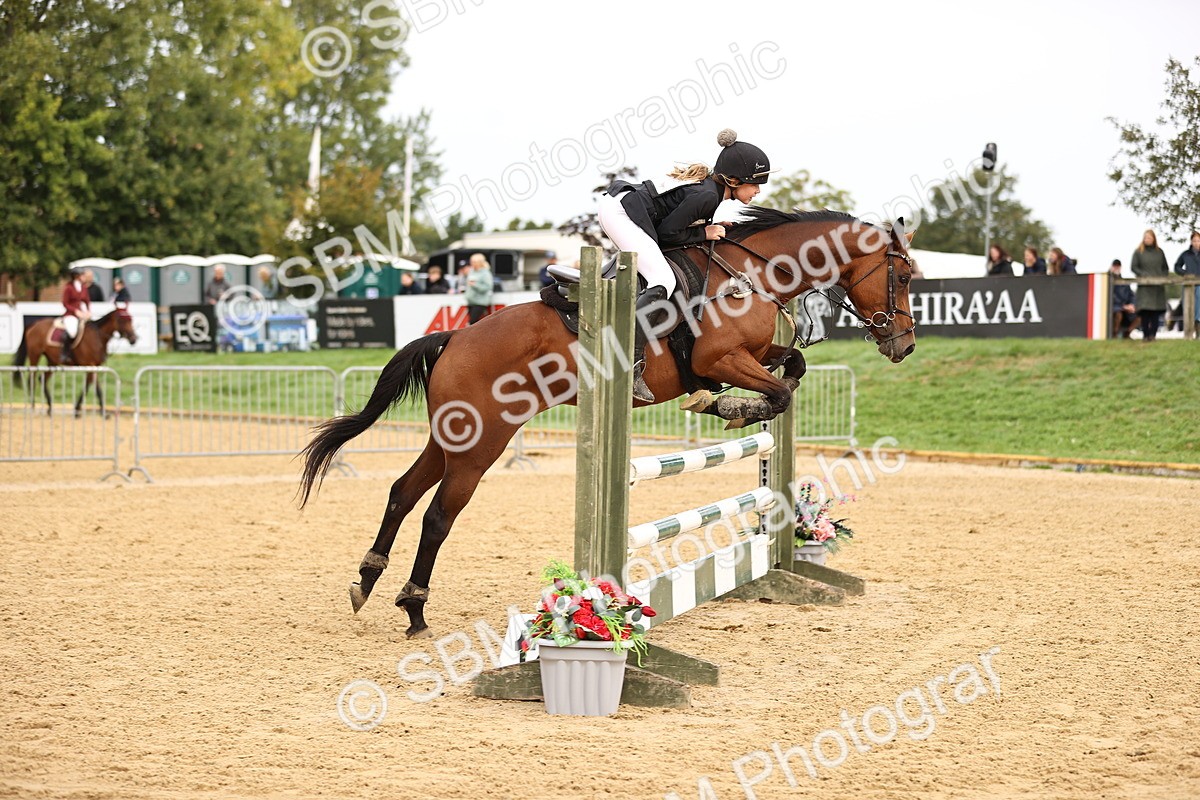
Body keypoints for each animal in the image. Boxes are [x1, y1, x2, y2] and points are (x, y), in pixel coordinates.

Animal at [299, 207, 919, 639]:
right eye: (904, 276)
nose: (905, 346)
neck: (752, 272)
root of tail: (454, 336)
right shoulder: (720, 357)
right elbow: (779, 392)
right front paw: (728, 408)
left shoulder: (758, 353)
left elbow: (792, 369)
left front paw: (735, 407)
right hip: (482, 444)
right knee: (436, 516)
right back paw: (414, 605)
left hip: (449, 437)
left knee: (402, 493)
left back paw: (368, 581)